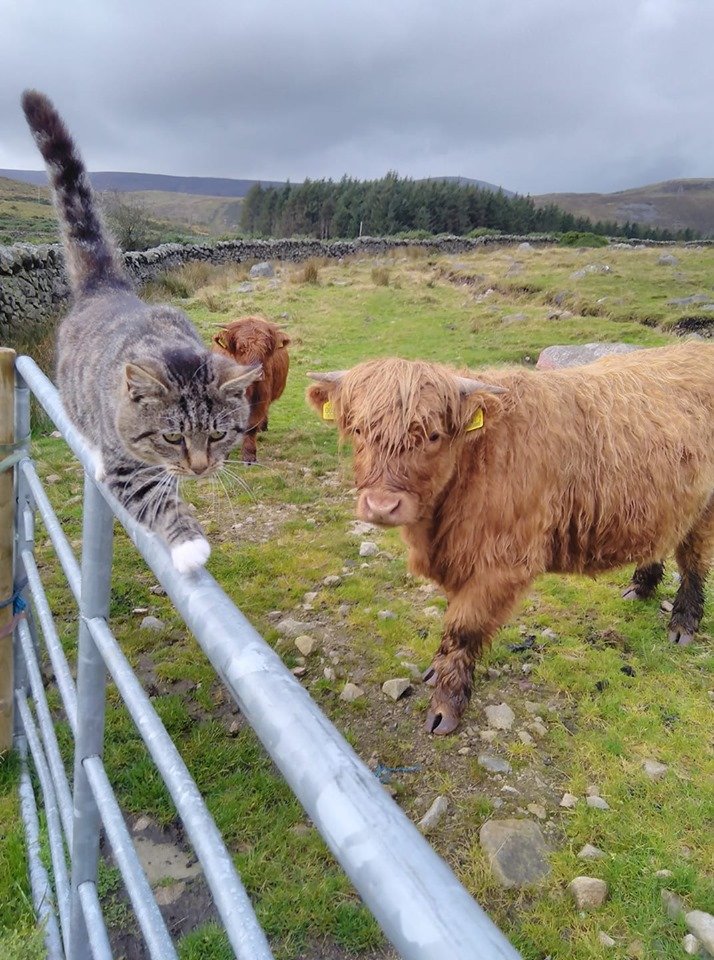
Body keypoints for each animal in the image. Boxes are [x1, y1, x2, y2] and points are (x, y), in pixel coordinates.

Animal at [21, 92, 262, 568]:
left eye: (218, 433)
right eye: (171, 435)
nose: (200, 468)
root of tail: (105, 285)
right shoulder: (128, 464)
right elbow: (152, 495)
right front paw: (189, 543)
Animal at [211, 316, 290, 464]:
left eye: (265, 348)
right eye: (241, 348)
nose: (256, 373)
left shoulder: (261, 398)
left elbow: (252, 425)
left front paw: (249, 456)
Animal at [306, 344, 712, 736]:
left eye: (433, 435)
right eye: (359, 430)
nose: (381, 505)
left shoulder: (502, 564)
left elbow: (463, 627)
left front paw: (446, 706)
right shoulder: (460, 557)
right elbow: (452, 621)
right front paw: (437, 670)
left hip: (704, 508)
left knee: (693, 559)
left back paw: (683, 625)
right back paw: (641, 587)